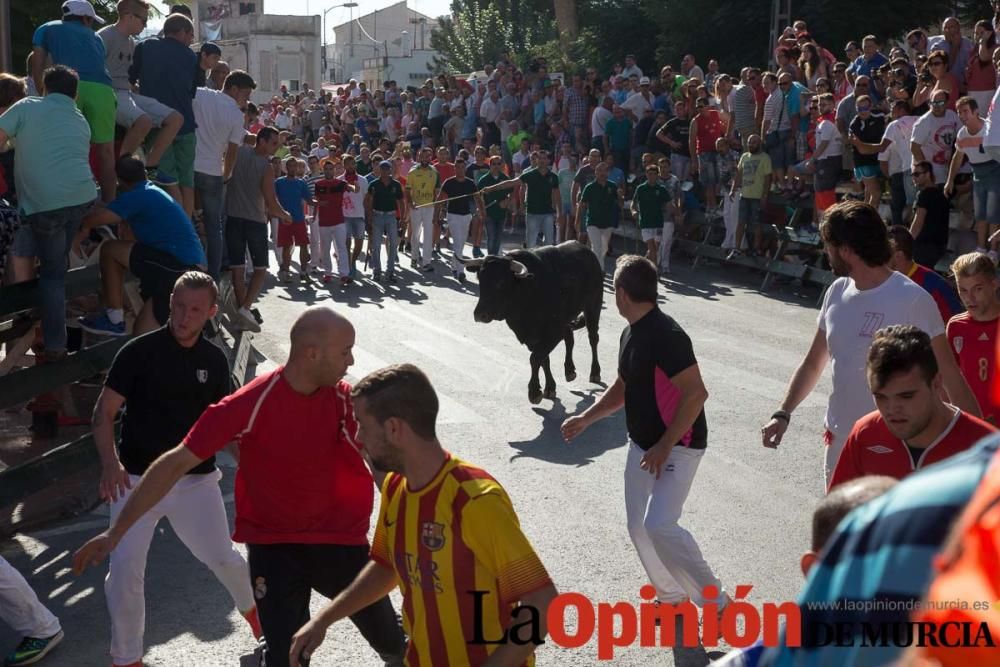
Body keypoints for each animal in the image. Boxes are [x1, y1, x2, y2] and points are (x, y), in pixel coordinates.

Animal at [462, 243, 600, 404]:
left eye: (501, 282)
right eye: (480, 279)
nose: (479, 314)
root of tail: (586, 249)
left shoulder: (553, 332)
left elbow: (535, 358)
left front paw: (534, 392)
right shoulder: (532, 337)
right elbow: (543, 359)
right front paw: (549, 387)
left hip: (593, 307)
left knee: (593, 338)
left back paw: (595, 372)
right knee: (569, 337)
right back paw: (570, 370)